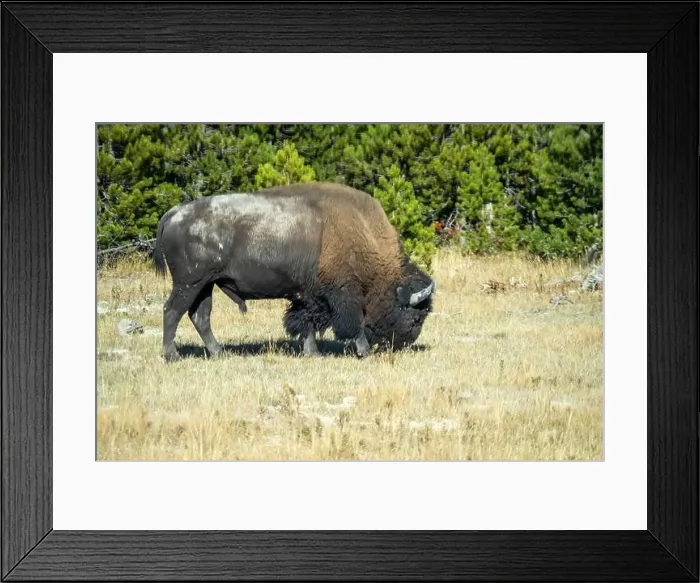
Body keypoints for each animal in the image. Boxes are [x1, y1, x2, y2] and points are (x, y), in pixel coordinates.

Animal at [153, 182, 435, 361]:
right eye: (415, 317)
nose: (405, 344)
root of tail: (176, 212)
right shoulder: (344, 294)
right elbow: (353, 323)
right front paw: (363, 352)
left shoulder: (307, 295)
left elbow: (306, 322)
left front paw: (313, 353)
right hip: (189, 284)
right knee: (172, 311)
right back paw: (173, 356)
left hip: (206, 286)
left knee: (200, 316)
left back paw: (219, 353)